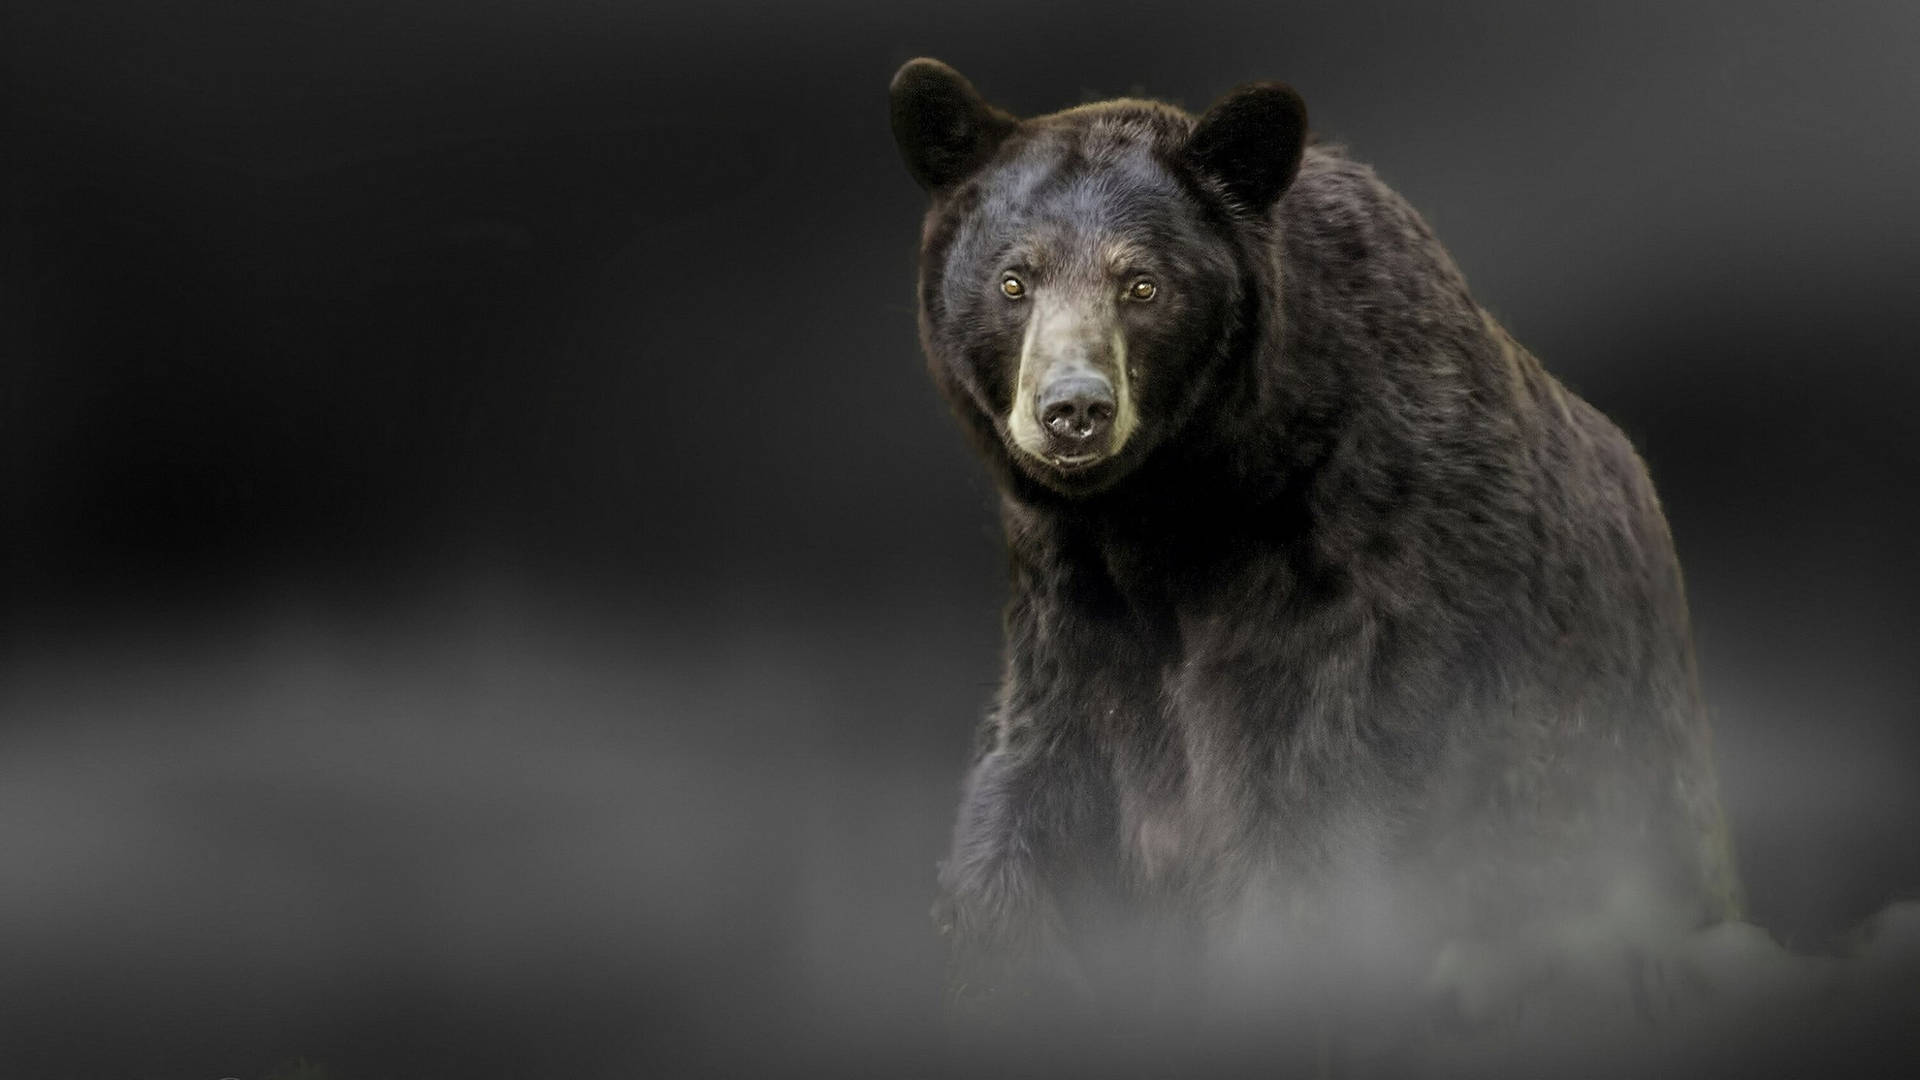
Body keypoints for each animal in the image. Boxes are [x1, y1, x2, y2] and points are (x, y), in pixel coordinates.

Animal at [890, 61, 1751, 1037]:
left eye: (1142, 285)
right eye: (1013, 280)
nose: (1074, 407)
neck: (1177, 511)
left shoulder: (1358, 585)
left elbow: (1309, 824)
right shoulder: (1069, 606)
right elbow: (1029, 800)